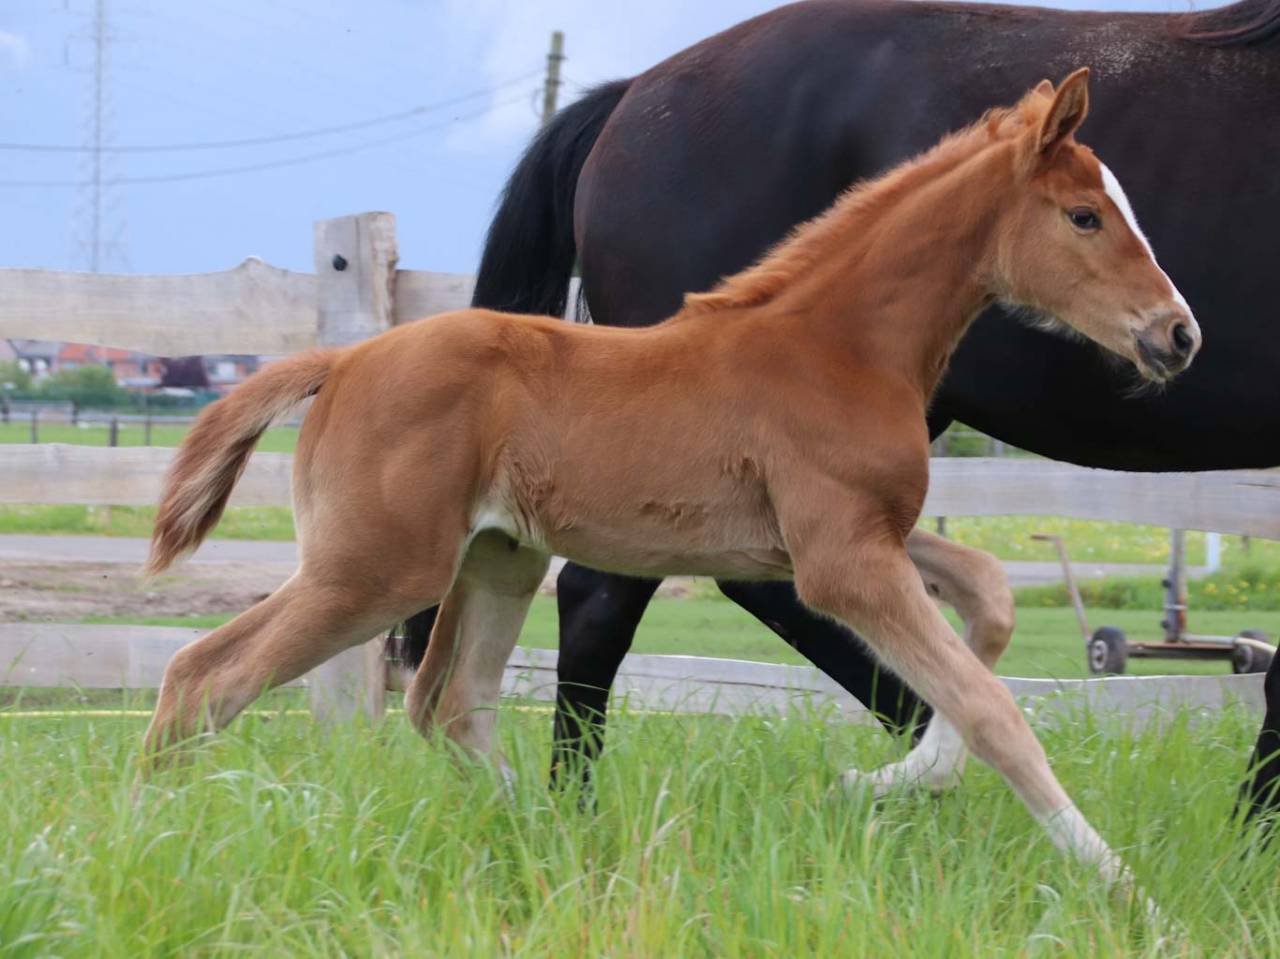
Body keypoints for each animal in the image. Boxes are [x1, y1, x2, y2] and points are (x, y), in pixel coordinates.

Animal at [143, 71, 1196, 894]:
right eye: (1085, 215)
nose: (1178, 333)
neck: (841, 347)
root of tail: (343, 359)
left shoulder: (861, 535)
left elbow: (989, 596)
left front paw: (893, 781)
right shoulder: (840, 561)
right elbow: (993, 709)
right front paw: (1130, 894)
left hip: (497, 557)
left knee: (450, 703)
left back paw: (558, 848)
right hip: (375, 568)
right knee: (206, 674)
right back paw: (158, 842)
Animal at [387, 0, 1280, 803]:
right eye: (1086, 217)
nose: (1180, 333)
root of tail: (634, 91)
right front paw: (1251, 829)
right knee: (608, 596)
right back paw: (579, 804)